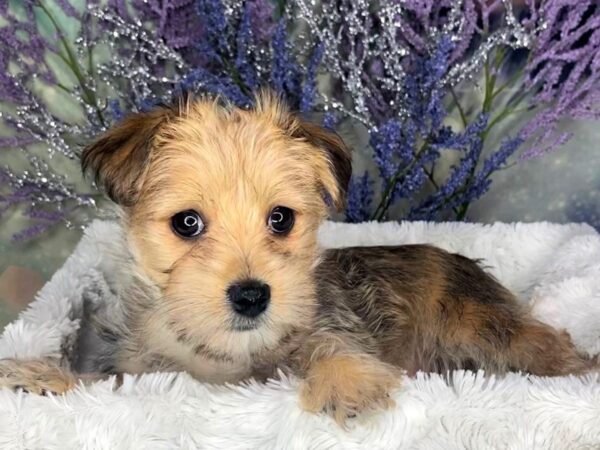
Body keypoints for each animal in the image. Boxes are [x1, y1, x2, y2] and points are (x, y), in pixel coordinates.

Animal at [0, 93, 592, 424]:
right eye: (187, 223)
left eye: (280, 219)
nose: (252, 295)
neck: (224, 354)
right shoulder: (144, 371)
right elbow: (106, 384)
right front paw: (43, 376)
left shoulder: (326, 330)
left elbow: (334, 348)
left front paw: (346, 384)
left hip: (488, 331)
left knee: (555, 350)